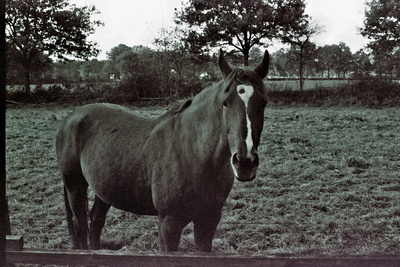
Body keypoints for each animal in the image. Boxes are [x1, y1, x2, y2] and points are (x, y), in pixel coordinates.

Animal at [55, 49, 268, 252]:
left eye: (264, 102)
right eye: (225, 102)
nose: (245, 162)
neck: (193, 154)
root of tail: (70, 118)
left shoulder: (208, 220)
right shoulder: (169, 224)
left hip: (104, 190)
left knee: (96, 221)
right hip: (75, 186)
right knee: (80, 225)